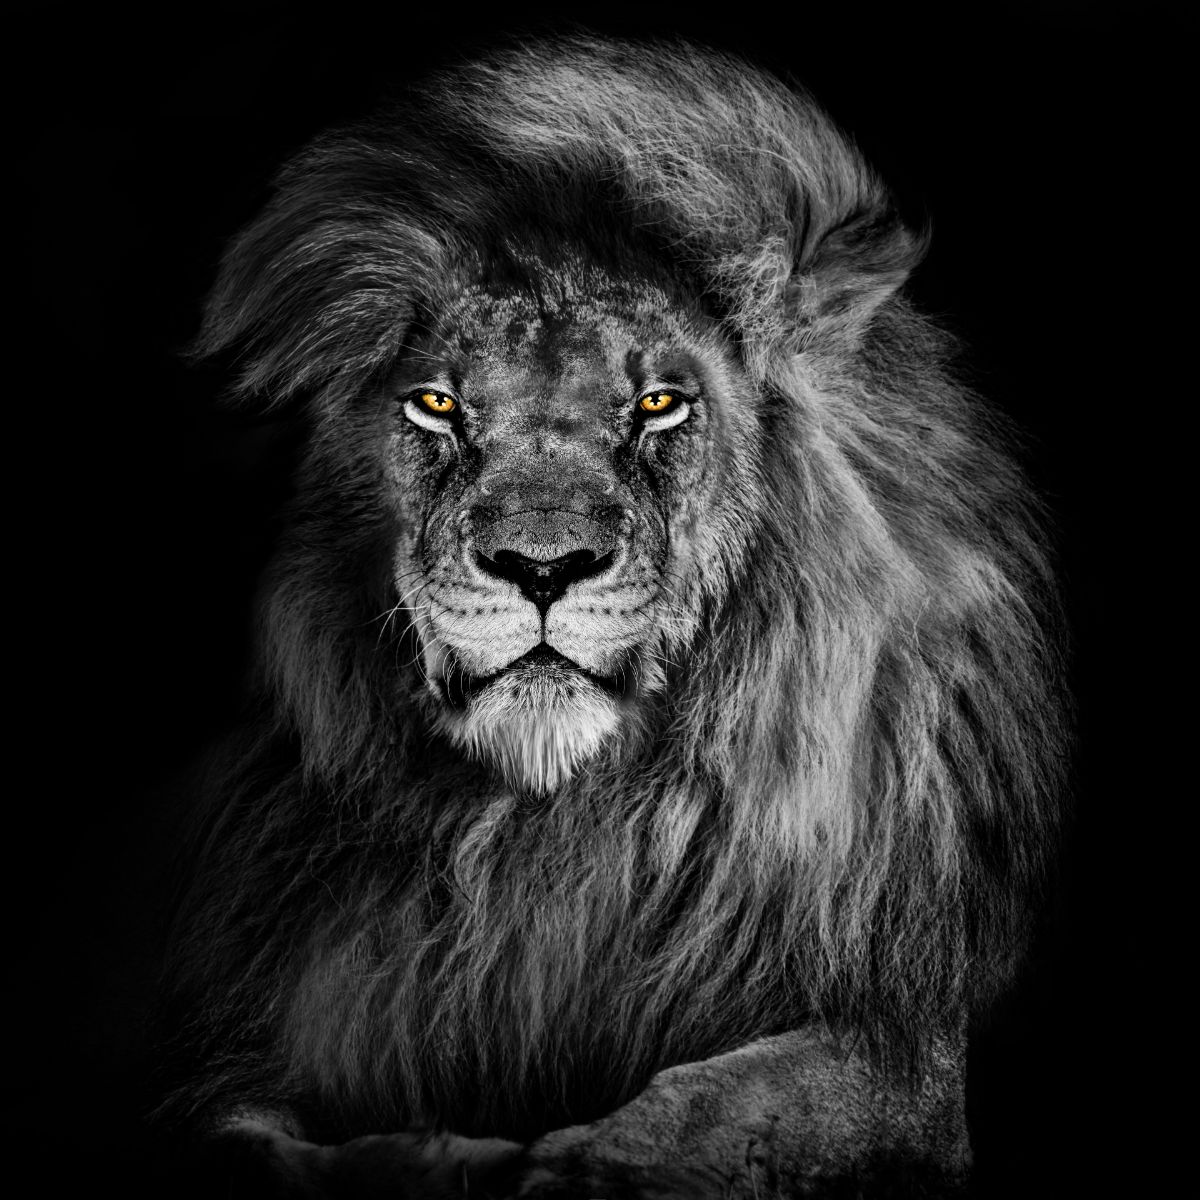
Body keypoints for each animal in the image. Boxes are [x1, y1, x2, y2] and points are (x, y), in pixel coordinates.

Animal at [155, 36, 1069, 1198]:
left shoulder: (903, 1043)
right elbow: (245, 1138)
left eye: (659, 403)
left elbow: (725, 1106)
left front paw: (576, 1166)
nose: (541, 567)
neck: (555, 825)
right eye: (437, 404)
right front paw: (434, 1160)